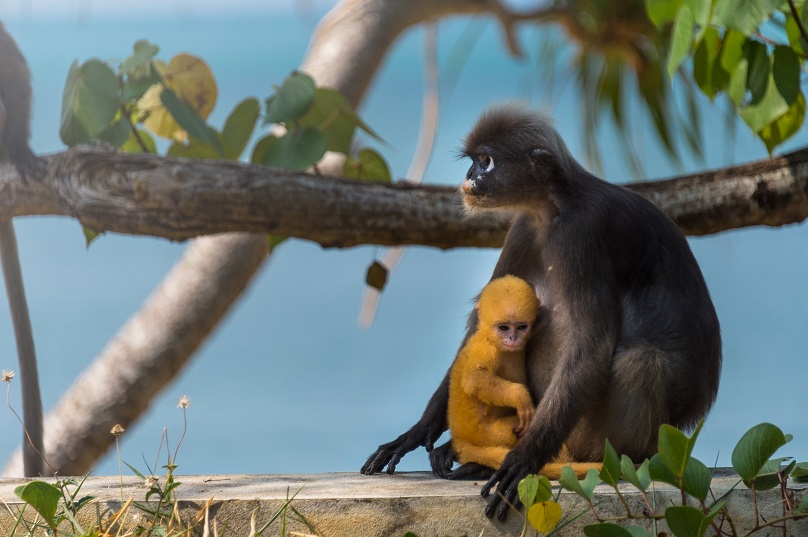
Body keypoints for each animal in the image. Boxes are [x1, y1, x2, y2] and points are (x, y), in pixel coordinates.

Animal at [446, 274, 540, 472]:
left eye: (521, 327)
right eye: (504, 328)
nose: (513, 338)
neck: (489, 336)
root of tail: (461, 440)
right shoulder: (487, 349)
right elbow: (473, 379)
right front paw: (520, 397)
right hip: (492, 435)